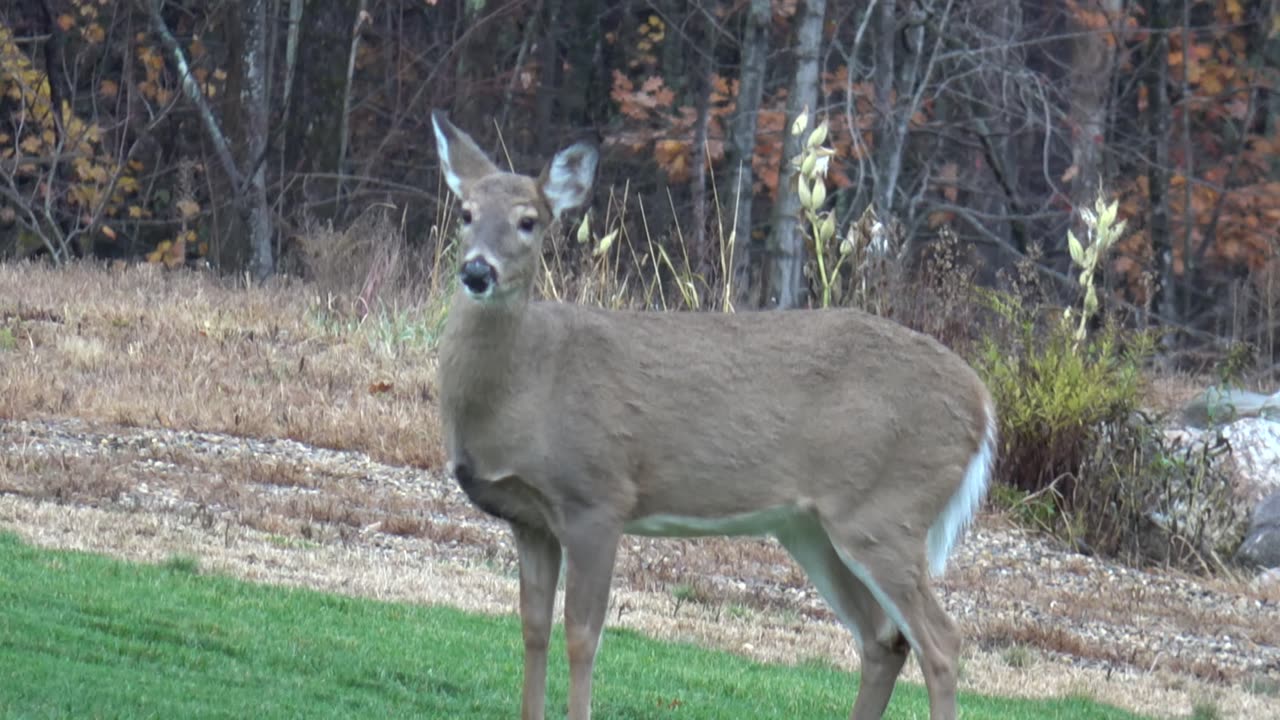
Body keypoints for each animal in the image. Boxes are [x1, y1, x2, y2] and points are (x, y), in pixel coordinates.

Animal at [431, 110, 998, 720]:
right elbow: (532, 629)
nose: (478, 272)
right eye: (466, 214)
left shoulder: (597, 496)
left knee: (941, 640)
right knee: (882, 639)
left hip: (887, 510)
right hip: (811, 526)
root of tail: (983, 405)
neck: (527, 385)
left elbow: (583, 636)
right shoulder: (530, 519)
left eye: (529, 221)